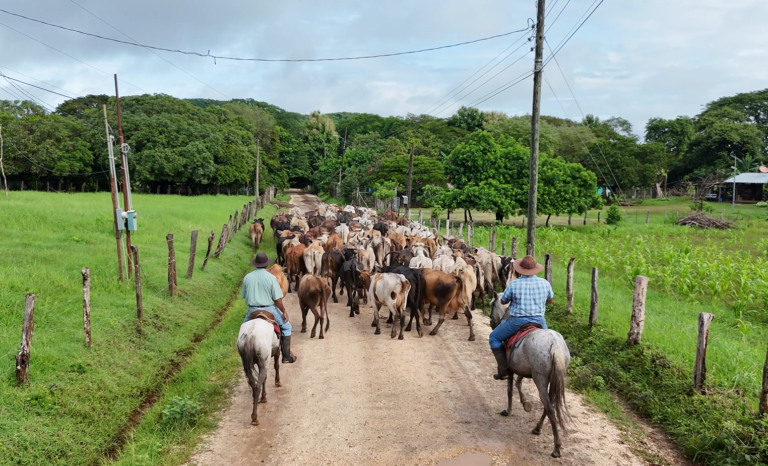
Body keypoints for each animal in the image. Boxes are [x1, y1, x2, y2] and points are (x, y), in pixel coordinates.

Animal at [492, 294, 568, 458]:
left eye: (492, 304)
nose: (492, 322)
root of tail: (555, 345)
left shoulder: (511, 369)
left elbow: (510, 390)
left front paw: (508, 411)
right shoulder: (523, 369)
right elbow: (518, 384)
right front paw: (525, 403)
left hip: (540, 380)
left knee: (549, 408)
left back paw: (556, 448)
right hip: (552, 380)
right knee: (549, 405)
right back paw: (537, 428)